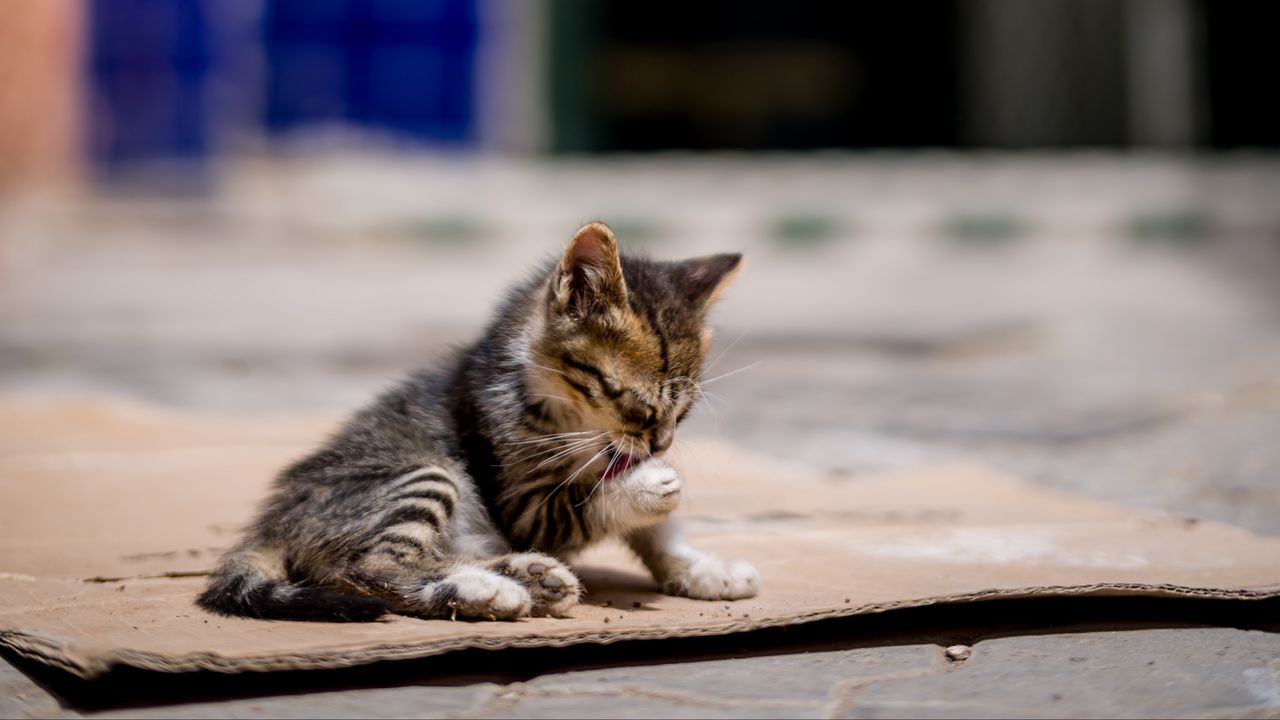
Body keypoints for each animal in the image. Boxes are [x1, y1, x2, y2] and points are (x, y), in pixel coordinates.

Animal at [197, 221, 757, 620]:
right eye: (635, 405)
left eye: (683, 413)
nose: (661, 445)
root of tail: (274, 519)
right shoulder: (521, 505)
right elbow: (586, 503)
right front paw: (645, 487)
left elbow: (657, 530)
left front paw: (702, 567)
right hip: (423, 473)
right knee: (364, 568)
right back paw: (488, 590)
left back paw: (530, 577)